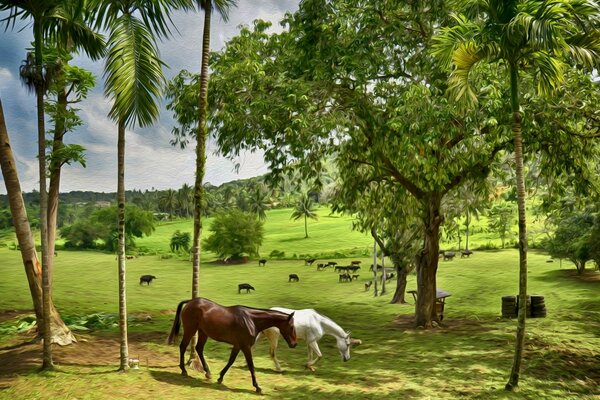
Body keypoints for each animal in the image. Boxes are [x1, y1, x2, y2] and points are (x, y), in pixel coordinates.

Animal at [166, 296, 298, 394]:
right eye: (291, 327)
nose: (294, 344)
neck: (251, 320)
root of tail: (190, 302)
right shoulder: (245, 346)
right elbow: (251, 366)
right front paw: (257, 387)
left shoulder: (238, 345)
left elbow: (231, 361)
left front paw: (220, 378)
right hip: (191, 329)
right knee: (183, 346)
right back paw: (184, 370)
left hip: (203, 332)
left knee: (199, 348)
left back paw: (208, 373)